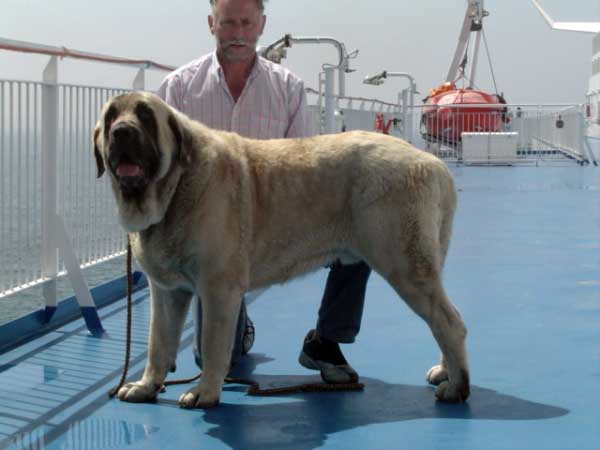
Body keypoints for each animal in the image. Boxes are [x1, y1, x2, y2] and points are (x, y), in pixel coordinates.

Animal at [94, 91, 468, 408]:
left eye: (145, 116)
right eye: (111, 116)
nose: (122, 133)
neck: (173, 189)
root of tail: (433, 163)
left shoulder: (218, 289)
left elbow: (213, 345)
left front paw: (205, 392)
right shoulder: (168, 292)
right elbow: (158, 342)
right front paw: (146, 386)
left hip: (404, 265)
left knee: (449, 322)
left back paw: (456, 387)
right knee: (445, 319)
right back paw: (445, 372)